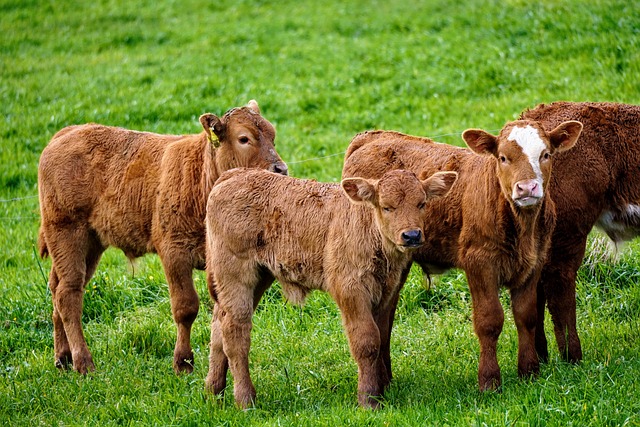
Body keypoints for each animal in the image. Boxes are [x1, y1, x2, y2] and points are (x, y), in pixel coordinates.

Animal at [37, 100, 288, 374]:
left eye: (273, 136)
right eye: (244, 138)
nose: (281, 170)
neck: (200, 177)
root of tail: (67, 133)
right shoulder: (173, 253)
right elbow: (185, 307)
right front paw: (183, 362)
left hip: (90, 245)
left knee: (58, 288)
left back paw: (63, 357)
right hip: (68, 234)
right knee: (68, 294)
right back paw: (83, 362)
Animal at [204, 166, 456, 408]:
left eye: (421, 203)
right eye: (387, 207)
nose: (411, 235)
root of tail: (235, 174)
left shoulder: (386, 293)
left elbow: (383, 337)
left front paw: (383, 390)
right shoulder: (350, 290)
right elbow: (367, 342)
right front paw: (369, 399)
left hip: (258, 277)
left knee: (218, 326)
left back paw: (214, 391)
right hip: (236, 276)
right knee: (235, 332)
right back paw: (245, 400)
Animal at [342, 119, 584, 392]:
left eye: (545, 155)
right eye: (503, 157)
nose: (526, 188)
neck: (522, 228)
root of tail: (373, 136)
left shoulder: (534, 263)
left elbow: (527, 316)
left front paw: (529, 371)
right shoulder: (479, 263)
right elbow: (489, 321)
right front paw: (489, 380)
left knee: (386, 315)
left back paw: (387, 380)